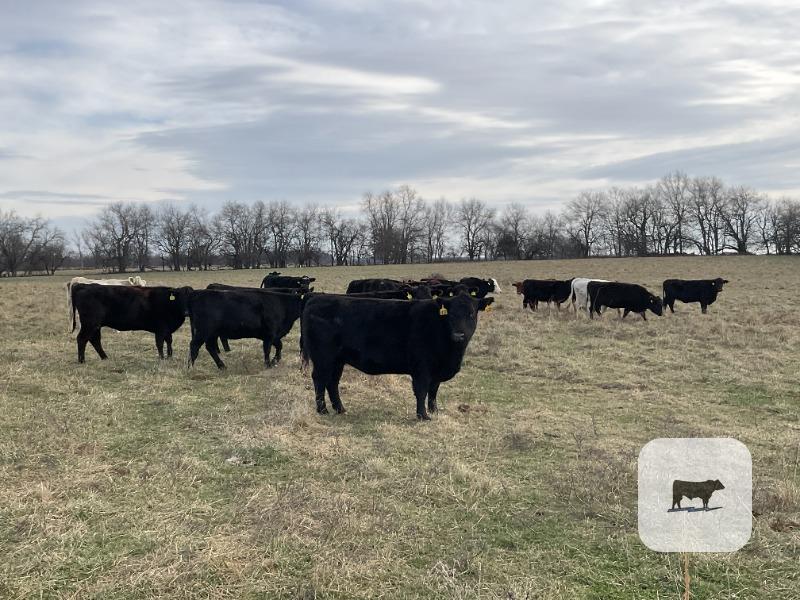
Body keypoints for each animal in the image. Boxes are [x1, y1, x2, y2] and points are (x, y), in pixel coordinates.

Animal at [300, 291, 494, 420]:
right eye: (451, 314)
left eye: (471, 313)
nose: (459, 335)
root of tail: (316, 298)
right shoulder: (422, 368)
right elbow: (422, 391)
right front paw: (423, 416)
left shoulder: (436, 371)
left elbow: (433, 391)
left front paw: (434, 411)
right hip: (323, 358)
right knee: (319, 380)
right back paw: (322, 410)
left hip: (337, 360)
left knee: (332, 382)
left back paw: (340, 409)